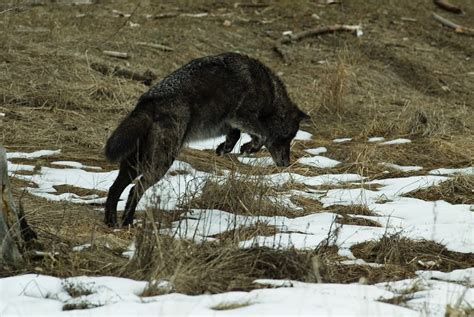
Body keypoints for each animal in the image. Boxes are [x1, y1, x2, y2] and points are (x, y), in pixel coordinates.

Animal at [103, 51, 310, 226]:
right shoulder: (241, 116)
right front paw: (249, 148)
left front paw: (224, 148)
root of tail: (149, 101)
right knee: (134, 190)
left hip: (133, 165)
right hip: (160, 164)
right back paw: (127, 222)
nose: (286, 163)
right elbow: (261, 134)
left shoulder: (231, 123)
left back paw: (112, 222)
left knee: (114, 189)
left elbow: (235, 135)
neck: (270, 93)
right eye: (287, 138)